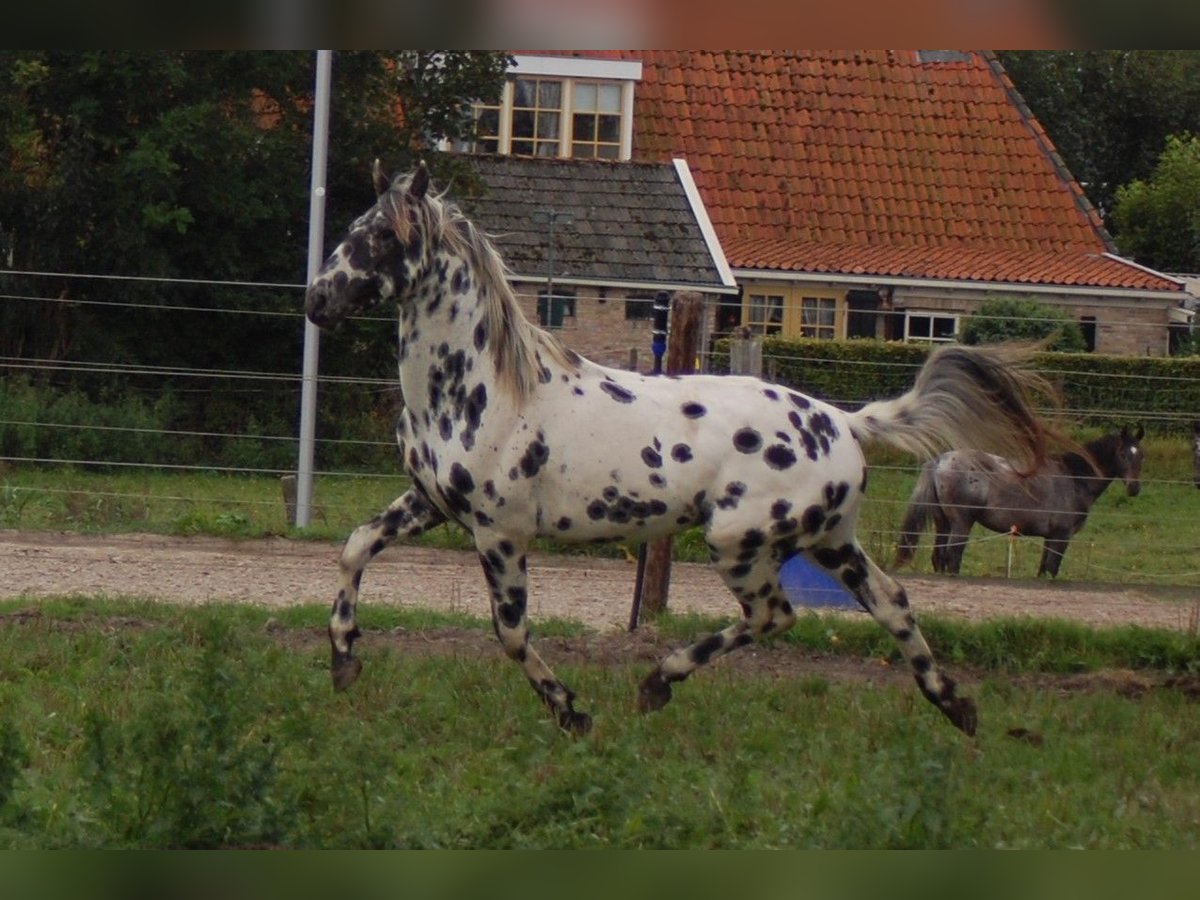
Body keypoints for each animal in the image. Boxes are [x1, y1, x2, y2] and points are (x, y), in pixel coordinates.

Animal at [304, 162, 1056, 739]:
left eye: (382, 235)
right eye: (353, 227)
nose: (317, 300)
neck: (481, 388)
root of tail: (844, 423)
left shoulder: (500, 532)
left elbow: (511, 634)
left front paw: (573, 713)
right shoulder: (428, 502)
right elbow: (354, 546)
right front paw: (343, 659)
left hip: (739, 542)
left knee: (775, 614)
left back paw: (657, 682)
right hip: (831, 540)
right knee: (893, 602)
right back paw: (956, 707)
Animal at [902, 424, 1142, 578]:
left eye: (1141, 455)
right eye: (1122, 454)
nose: (1134, 488)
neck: (1074, 478)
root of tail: (940, 460)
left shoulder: (1050, 537)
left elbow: (1043, 570)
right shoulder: (1061, 537)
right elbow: (1052, 569)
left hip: (943, 523)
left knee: (939, 557)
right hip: (961, 523)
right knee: (952, 556)